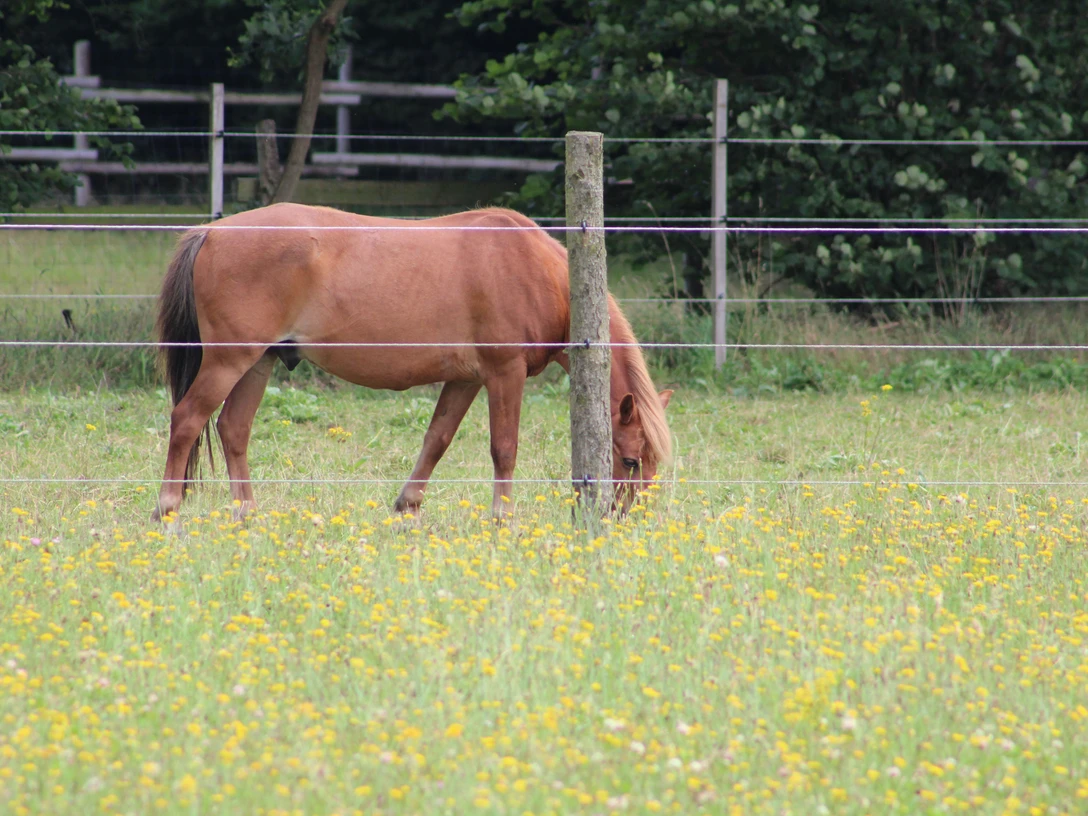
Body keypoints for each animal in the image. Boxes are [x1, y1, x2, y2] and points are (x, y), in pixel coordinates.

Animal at [152, 203, 672, 521]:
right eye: (630, 459)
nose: (629, 518)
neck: (532, 269)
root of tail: (212, 231)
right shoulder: (505, 374)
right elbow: (504, 448)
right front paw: (503, 517)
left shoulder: (466, 380)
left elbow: (437, 439)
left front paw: (408, 504)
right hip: (228, 360)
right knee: (187, 420)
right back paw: (168, 509)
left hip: (257, 363)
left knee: (233, 429)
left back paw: (247, 513)